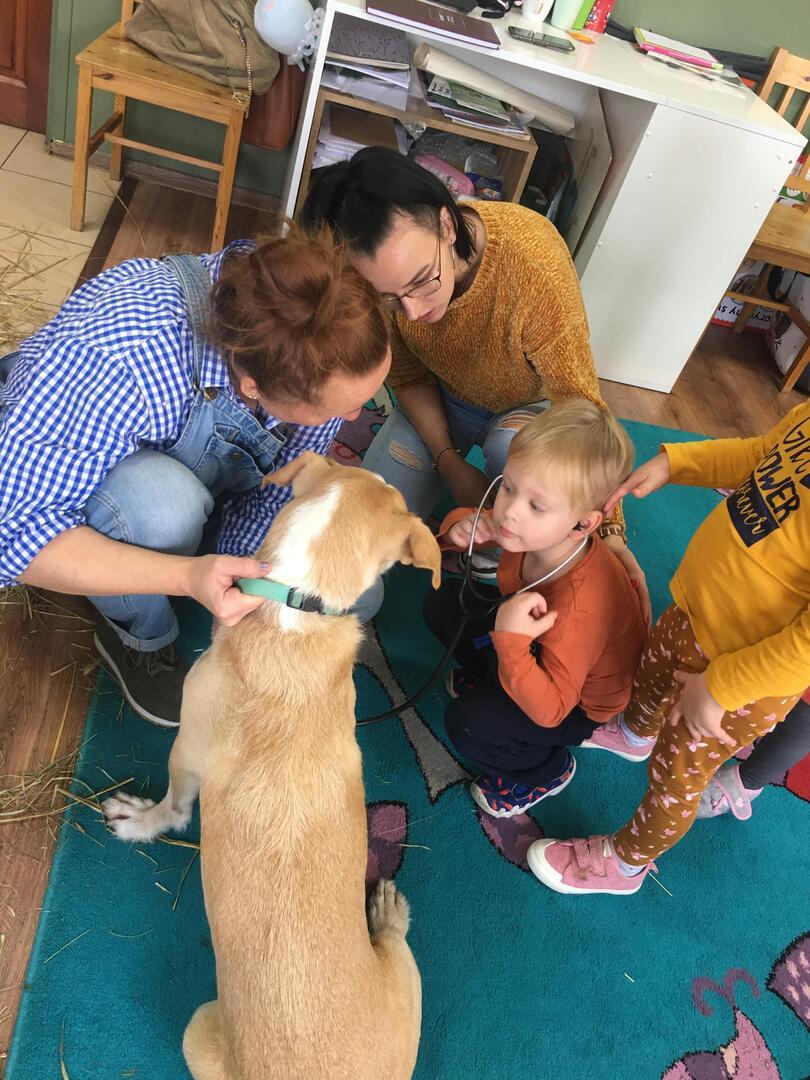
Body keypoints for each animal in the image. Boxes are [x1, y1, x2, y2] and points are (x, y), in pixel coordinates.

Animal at [102, 453, 441, 1080]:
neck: (296, 604)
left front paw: (139, 821)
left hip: (199, 1029)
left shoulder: (186, 750)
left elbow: (173, 808)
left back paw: (386, 914)